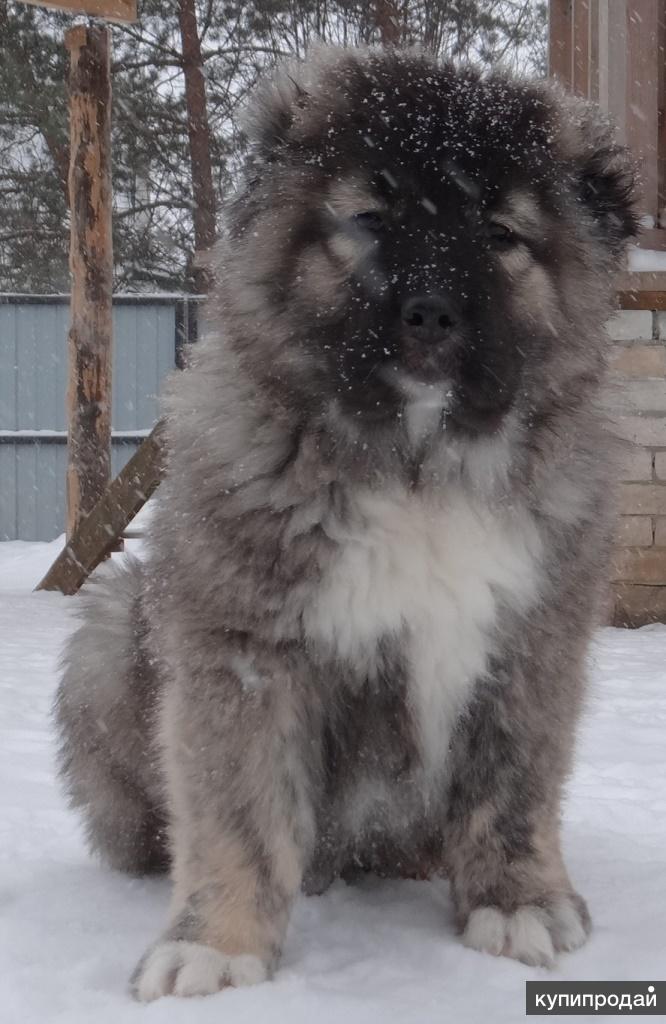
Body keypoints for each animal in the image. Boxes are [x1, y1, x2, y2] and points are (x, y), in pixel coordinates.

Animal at [54, 48, 635, 999]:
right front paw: (218, 943)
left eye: (501, 235)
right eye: (369, 218)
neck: (418, 466)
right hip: (110, 631)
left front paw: (515, 900)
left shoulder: (533, 641)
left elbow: (514, 786)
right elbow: (237, 810)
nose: (432, 315)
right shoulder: (244, 648)